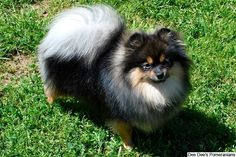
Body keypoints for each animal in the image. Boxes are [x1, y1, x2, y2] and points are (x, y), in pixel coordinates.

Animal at [38, 4, 190, 148]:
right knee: (50, 89)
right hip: (61, 83)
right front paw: (129, 146)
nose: (160, 74)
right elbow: (125, 131)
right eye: (146, 65)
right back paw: (50, 103)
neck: (150, 91)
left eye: (166, 62)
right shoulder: (117, 113)